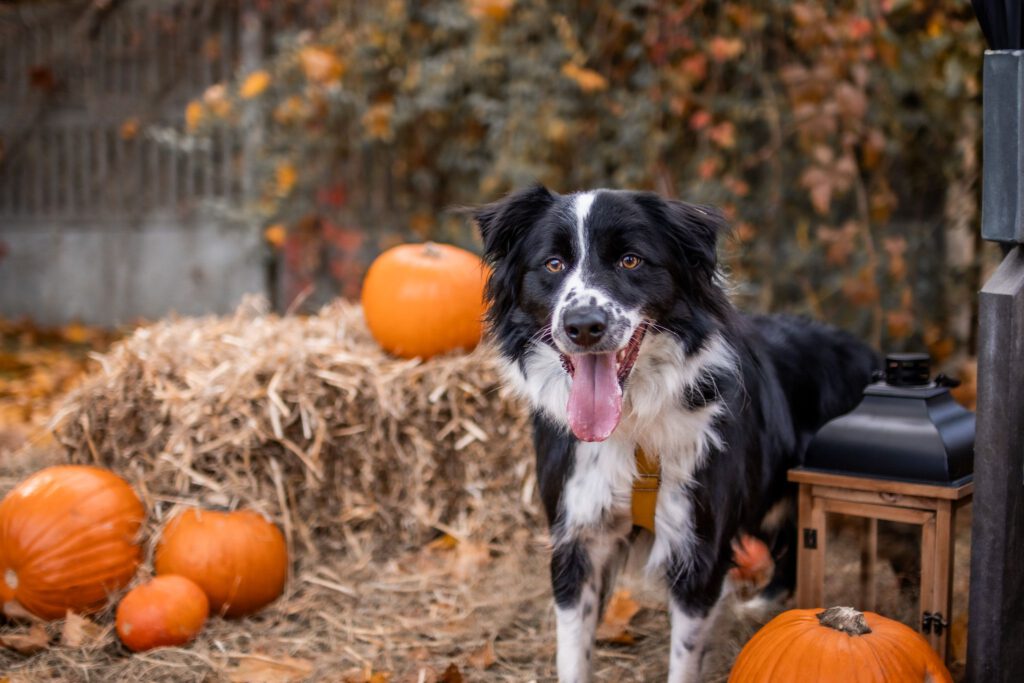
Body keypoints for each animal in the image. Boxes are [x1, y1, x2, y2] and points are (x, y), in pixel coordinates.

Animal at [475, 187, 876, 683]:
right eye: (552, 264)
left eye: (630, 260)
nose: (583, 326)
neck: (632, 423)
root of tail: (868, 354)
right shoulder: (577, 538)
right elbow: (573, 655)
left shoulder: (698, 548)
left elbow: (684, 659)